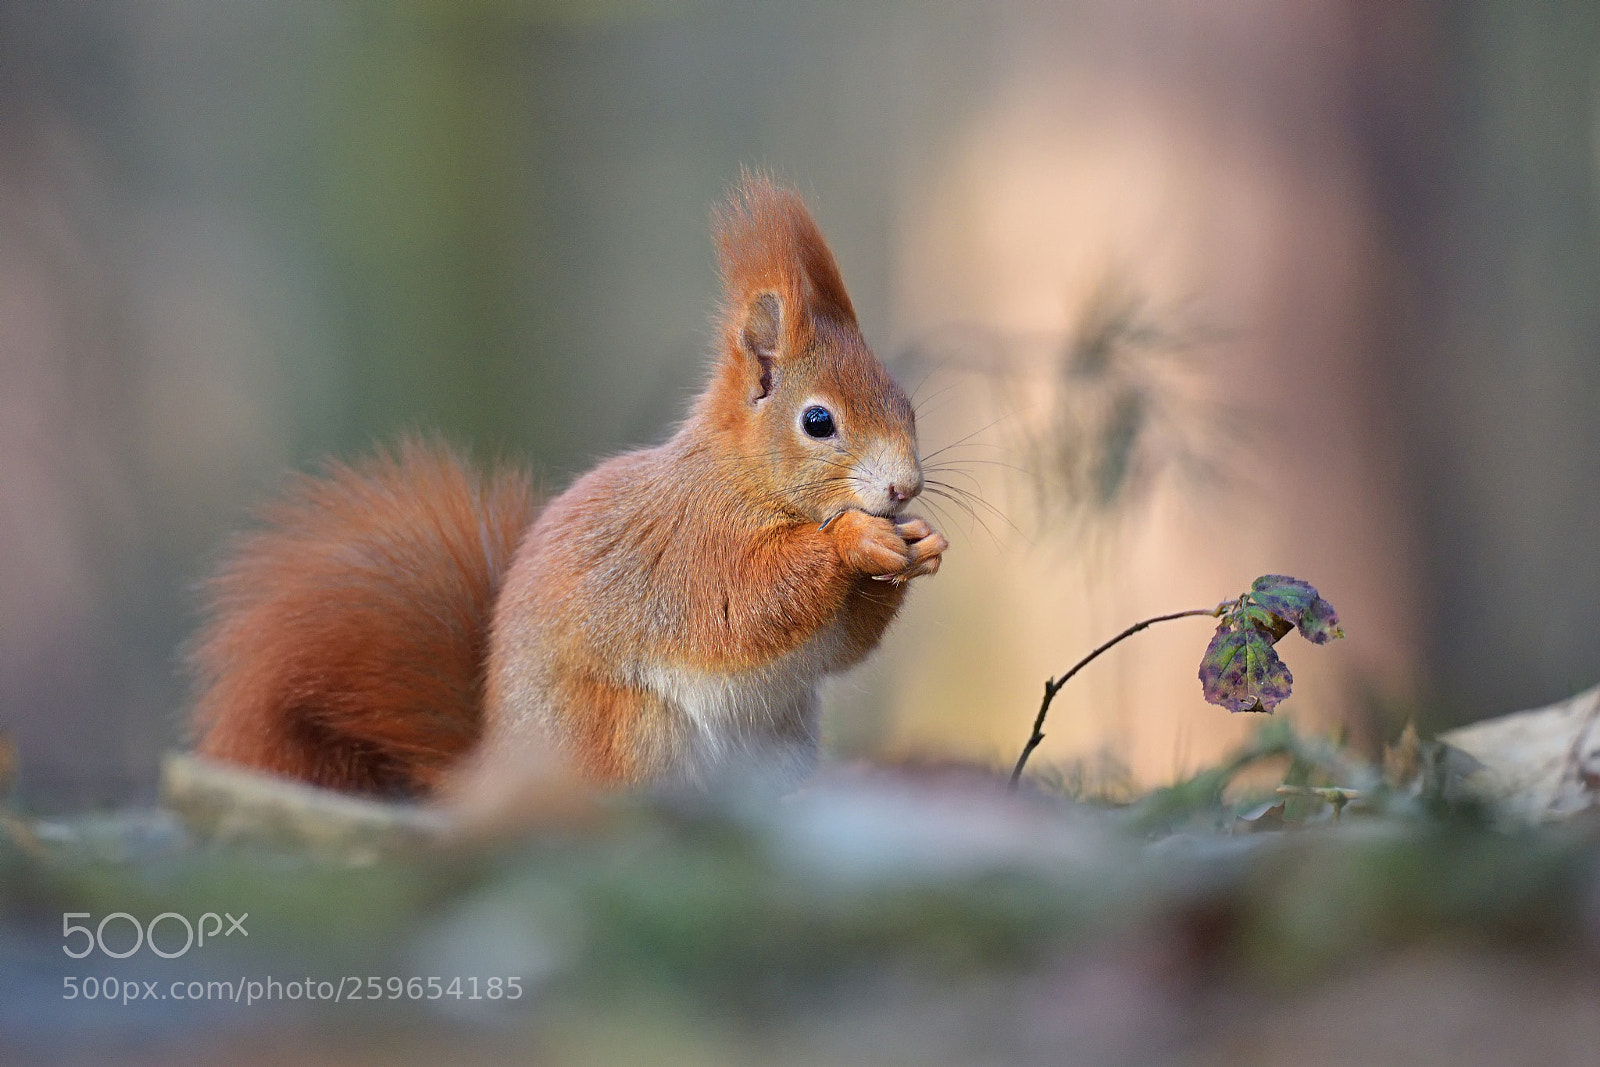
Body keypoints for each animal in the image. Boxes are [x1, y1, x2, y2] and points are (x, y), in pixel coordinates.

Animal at [187, 175, 947, 801]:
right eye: (818, 421)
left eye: (905, 402)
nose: (904, 487)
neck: (744, 478)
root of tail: (492, 779)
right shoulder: (687, 546)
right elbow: (746, 602)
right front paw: (856, 539)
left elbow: (843, 643)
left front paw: (922, 544)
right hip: (623, 731)